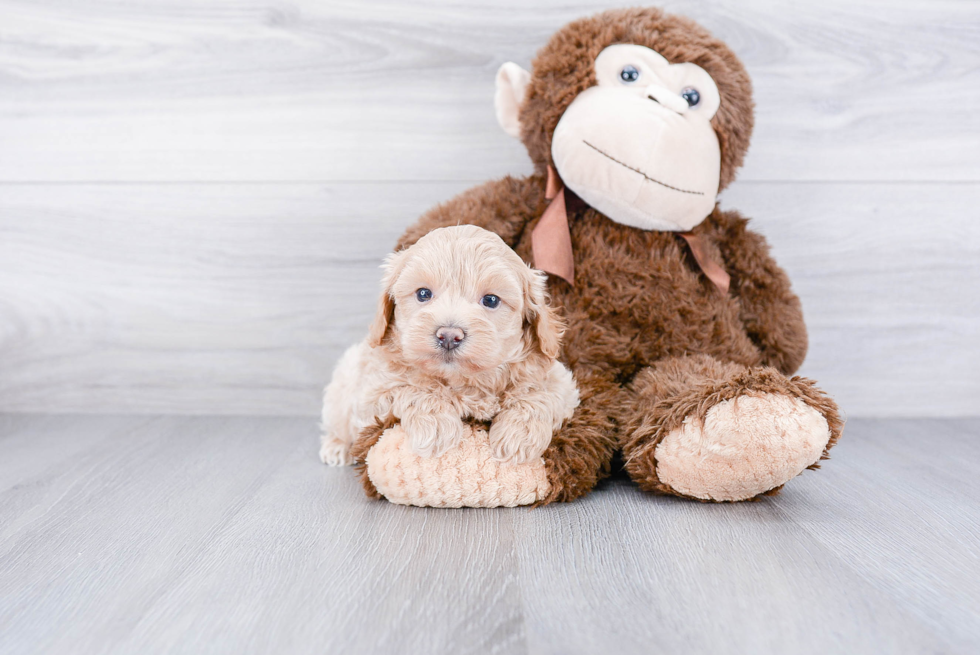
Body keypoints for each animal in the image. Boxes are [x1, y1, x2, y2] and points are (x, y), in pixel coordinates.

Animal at [322, 224, 580, 466]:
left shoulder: (563, 384)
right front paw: (436, 424)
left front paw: (518, 434)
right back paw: (336, 447)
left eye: (491, 300)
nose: (448, 335)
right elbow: (411, 388)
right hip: (344, 381)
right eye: (423, 294)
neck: (464, 381)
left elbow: (539, 392)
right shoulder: (372, 394)